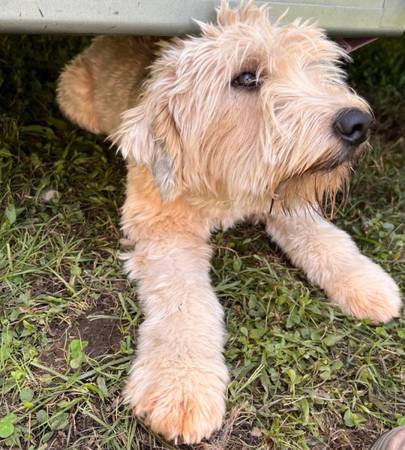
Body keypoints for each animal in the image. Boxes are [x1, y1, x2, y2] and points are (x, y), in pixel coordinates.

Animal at [56, 0, 400, 442]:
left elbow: (323, 236)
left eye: (315, 68)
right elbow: (187, 302)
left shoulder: (280, 192)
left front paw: (366, 282)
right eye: (247, 77)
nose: (358, 123)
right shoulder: (164, 228)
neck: (225, 181)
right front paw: (182, 386)